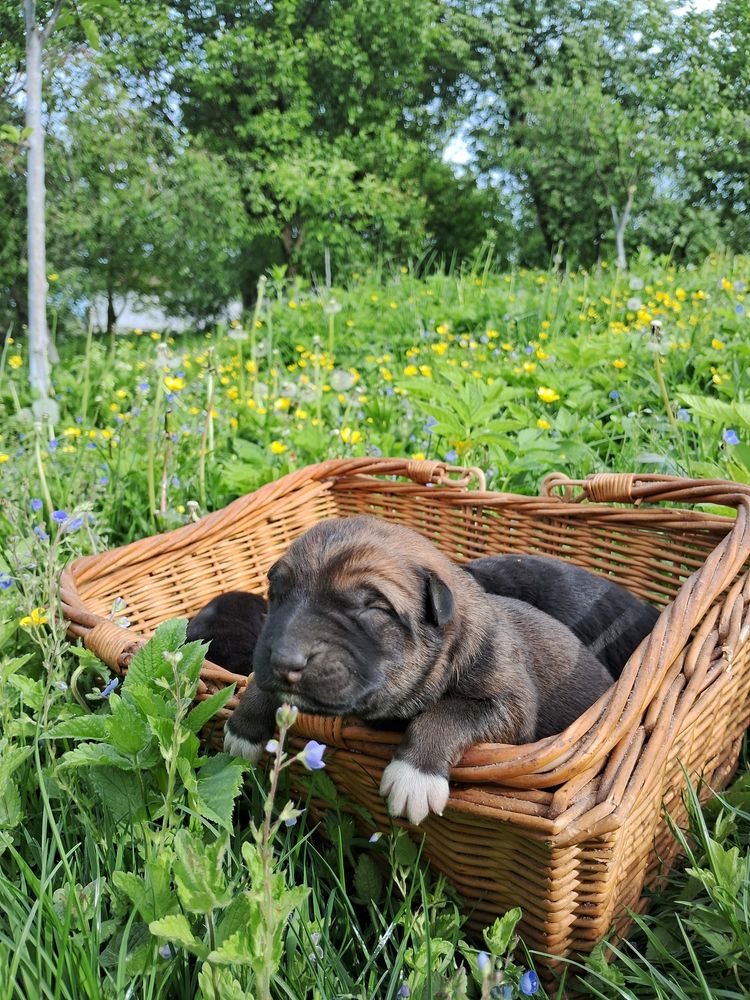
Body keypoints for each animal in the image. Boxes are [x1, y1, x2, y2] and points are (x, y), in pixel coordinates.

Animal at [223, 512, 616, 824]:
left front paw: (414, 776)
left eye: (373, 608)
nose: (283, 660)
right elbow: (260, 683)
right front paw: (243, 729)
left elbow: (447, 713)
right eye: (277, 593)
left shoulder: (509, 700)